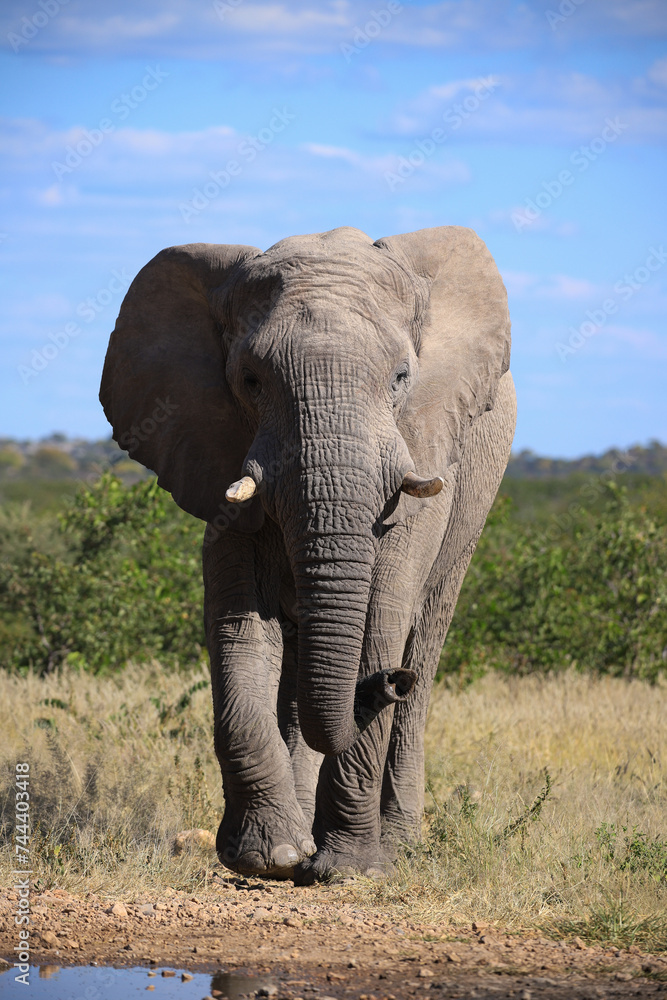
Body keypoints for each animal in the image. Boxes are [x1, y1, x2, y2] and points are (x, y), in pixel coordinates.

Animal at [99, 225, 516, 884]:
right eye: (250, 381)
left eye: (401, 378)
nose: (387, 684)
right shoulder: (217, 453)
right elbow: (239, 628)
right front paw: (269, 858)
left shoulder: (421, 457)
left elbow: (379, 617)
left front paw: (350, 870)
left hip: (476, 496)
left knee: (424, 637)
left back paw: (398, 842)